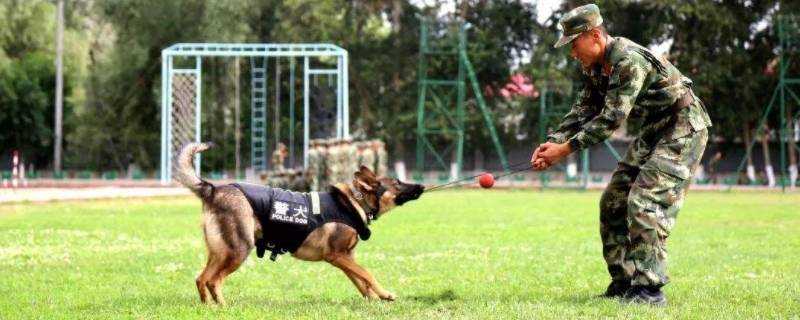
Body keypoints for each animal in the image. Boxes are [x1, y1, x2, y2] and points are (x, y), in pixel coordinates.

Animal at [176, 143, 424, 304]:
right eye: (398, 183)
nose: (422, 186)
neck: (356, 202)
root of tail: (213, 189)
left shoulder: (346, 258)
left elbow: (360, 281)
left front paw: (374, 299)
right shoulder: (337, 256)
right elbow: (368, 274)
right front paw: (385, 294)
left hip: (220, 252)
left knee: (202, 279)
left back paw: (208, 307)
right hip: (238, 250)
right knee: (213, 281)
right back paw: (223, 307)